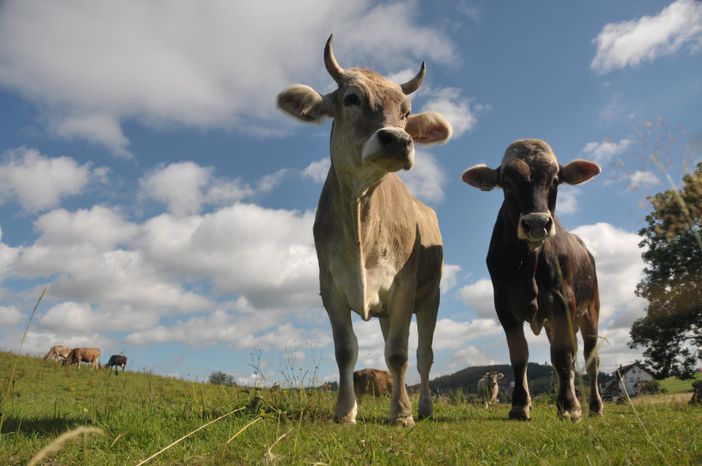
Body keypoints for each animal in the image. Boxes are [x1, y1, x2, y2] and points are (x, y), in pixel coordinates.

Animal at [278, 34, 454, 424]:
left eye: (406, 111)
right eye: (351, 98)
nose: (399, 139)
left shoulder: (404, 288)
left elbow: (400, 353)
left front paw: (401, 414)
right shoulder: (329, 287)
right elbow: (346, 350)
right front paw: (345, 411)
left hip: (431, 297)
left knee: (423, 356)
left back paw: (424, 407)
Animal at [464, 139, 608, 422]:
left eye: (555, 180)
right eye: (507, 183)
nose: (536, 223)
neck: (528, 264)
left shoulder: (563, 302)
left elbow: (563, 355)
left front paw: (569, 406)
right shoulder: (504, 306)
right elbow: (520, 356)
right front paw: (520, 405)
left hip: (591, 312)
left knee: (590, 360)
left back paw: (594, 406)